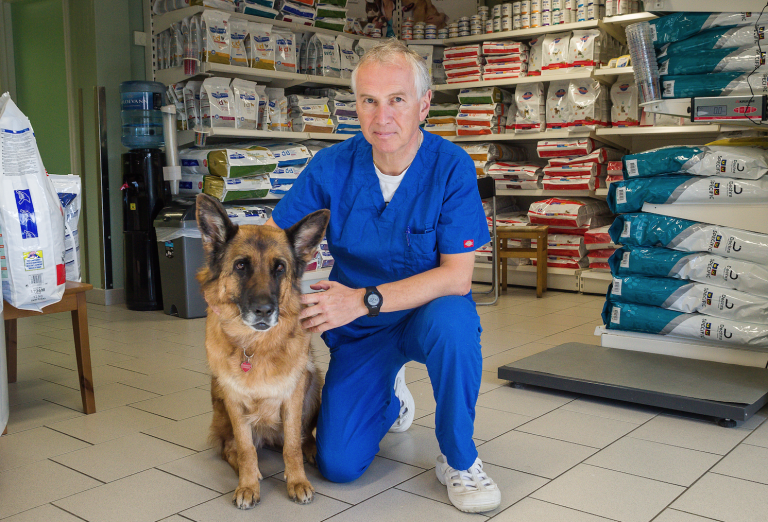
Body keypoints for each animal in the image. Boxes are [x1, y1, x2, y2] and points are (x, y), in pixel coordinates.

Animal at [195, 193, 330, 508]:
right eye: (241, 266)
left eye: (279, 268)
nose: (264, 311)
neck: (254, 346)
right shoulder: (234, 401)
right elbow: (245, 450)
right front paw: (248, 484)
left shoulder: (292, 398)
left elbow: (292, 446)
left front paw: (297, 481)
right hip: (218, 398)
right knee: (229, 448)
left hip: (314, 382)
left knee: (302, 438)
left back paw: (312, 452)